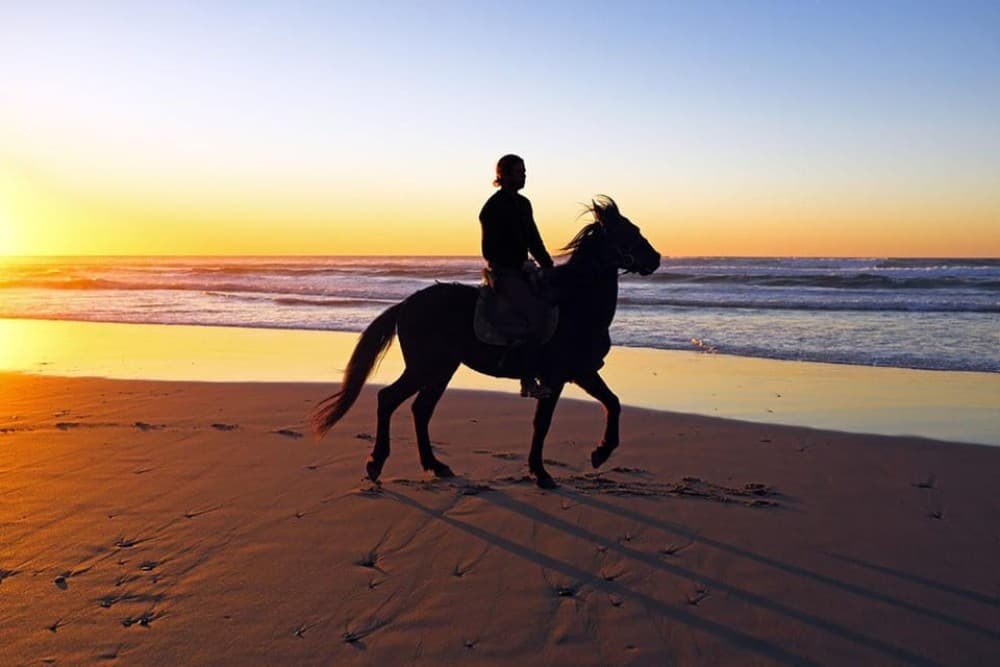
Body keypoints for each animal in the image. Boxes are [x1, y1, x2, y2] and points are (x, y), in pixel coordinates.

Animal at [311, 196, 661, 489]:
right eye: (629, 232)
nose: (656, 259)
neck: (576, 302)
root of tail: (408, 303)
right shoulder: (558, 375)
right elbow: (543, 423)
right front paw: (541, 473)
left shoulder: (581, 371)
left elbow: (612, 402)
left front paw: (600, 453)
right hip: (426, 367)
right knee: (389, 399)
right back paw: (376, 463)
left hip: (442, 369)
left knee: (420, 409)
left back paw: (435, 465)